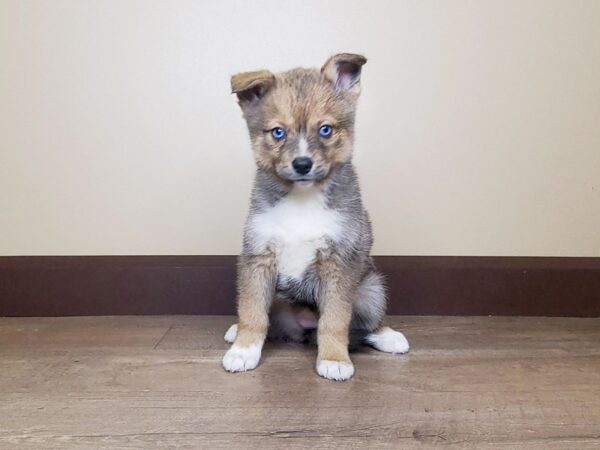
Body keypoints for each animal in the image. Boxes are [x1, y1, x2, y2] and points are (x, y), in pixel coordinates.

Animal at [223, 54, 410, 382]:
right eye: (278, 132)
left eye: (325, 129)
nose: (302, 164)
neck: (302, 198)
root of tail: (302, 327)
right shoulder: (257, 257)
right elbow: (252, 311)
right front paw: (244, 350)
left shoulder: (339, 261)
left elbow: (335, 320)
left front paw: (334, 358)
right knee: (269, 319)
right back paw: (237, 332)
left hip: (371, 289)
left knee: (365, 324)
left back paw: (388, 336)